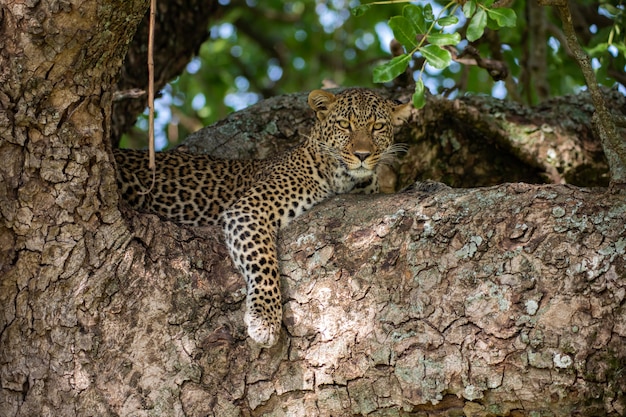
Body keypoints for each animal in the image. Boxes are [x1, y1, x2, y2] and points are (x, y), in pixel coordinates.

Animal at [114, 88, 412, 348]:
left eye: (377, 127)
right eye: (344, 125)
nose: (362, 155)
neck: (343, 180)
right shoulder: (248, 210)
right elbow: (264, 264)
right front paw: (264, 320)